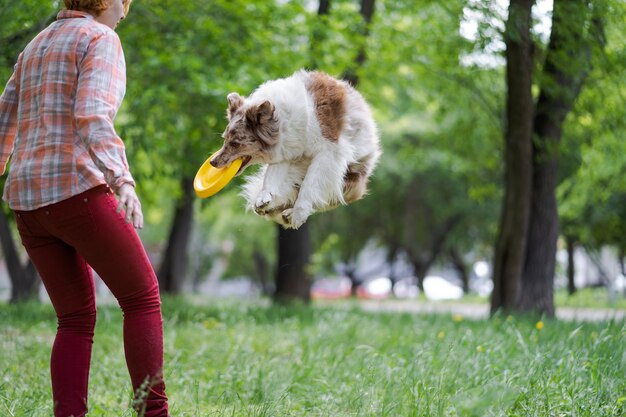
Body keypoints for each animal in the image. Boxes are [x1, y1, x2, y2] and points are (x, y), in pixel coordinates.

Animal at [210, 70, 378, 229]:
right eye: (225, 139)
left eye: (235, 143)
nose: (212, 162)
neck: (281, 120)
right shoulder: (286, 149)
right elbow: (271, 177)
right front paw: (264, 197)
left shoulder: (329, 152)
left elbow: (310, 184)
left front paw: (298, 214)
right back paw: (272, 204)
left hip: (350, 178)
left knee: (328, 197)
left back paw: (290, 213)